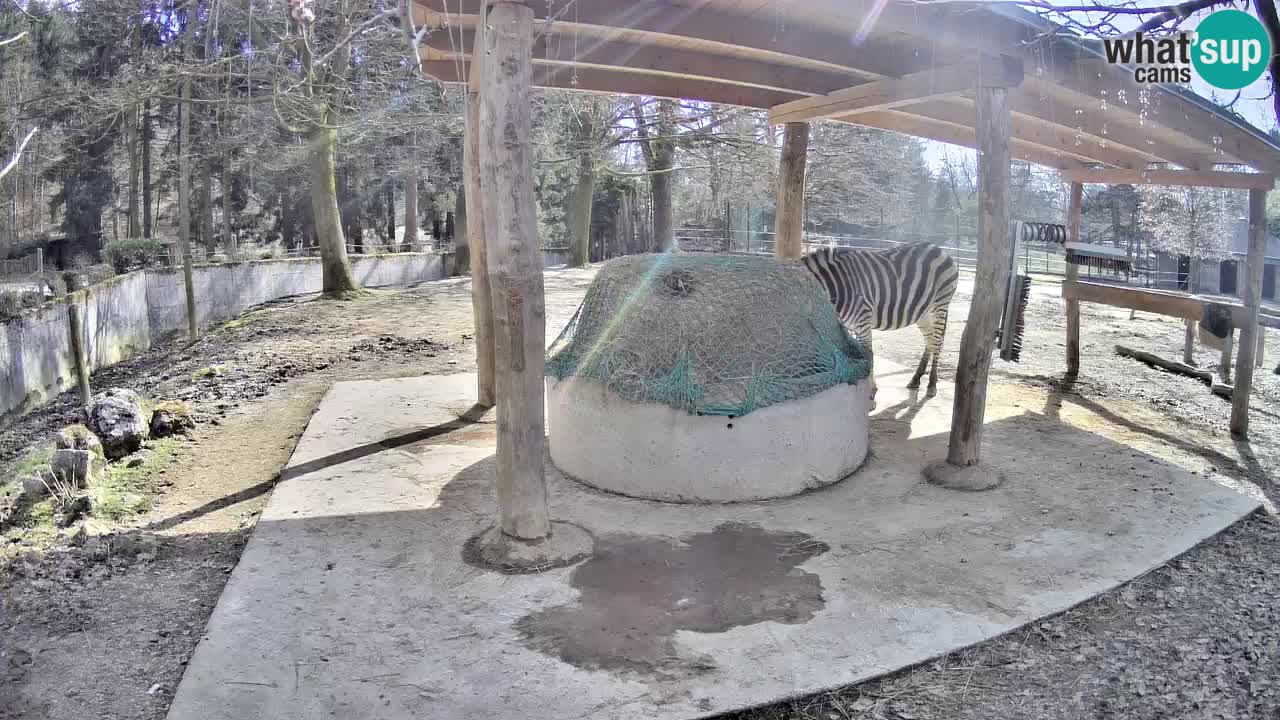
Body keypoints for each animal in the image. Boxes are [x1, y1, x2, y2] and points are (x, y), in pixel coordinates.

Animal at [798, 239, 962, 397]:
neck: (838, 288)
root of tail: (939, 249)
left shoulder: (863, 321)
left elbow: (868, 354)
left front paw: (870, 389)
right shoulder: (844, 325)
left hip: (939, 305)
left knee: (937, 342)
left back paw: (932, 385)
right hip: (923, 313)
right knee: (929, 341)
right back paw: (916, 379)